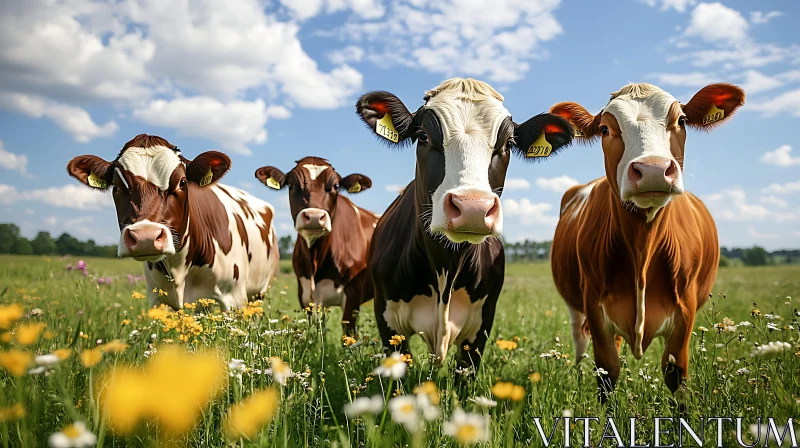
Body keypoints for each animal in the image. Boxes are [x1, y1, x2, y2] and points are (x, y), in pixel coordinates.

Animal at [69, 132, 282, 312]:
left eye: (182, 182)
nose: (145, 236)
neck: (178, 267)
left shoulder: (234, 298)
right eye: (117, 186)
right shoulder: (157, 299)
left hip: (258, 292)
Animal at [256, 158, 382, 332]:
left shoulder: (353, 296)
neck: (316, 260)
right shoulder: (307, 296)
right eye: (291, 185)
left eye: (336, 186)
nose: (314, 216)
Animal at [356, 78, 576, 372]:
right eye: (423, 136)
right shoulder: (388, 321)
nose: (473, 207)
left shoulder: (481, 325)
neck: (446, 268)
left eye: (508, 144)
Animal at [552, 82, 744, 400]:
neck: (643, 246)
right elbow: (607, 373)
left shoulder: (685, 310)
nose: (653, 170)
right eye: (604, 128)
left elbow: (676, 375)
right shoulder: (594, 307)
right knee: (580, 342)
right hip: (575, 308)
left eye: (681, 121)